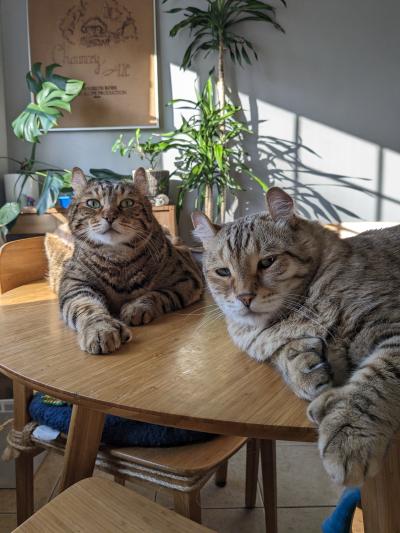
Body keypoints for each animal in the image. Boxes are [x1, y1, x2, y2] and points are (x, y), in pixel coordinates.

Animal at [46, 166, 203, 356]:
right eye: (93, 203)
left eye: (127, 203)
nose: (109, 216)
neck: (117, 257)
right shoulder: (74, 284)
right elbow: (87, 307)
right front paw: (101, 329)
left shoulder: (187, 277)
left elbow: (158, 293)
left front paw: (136, 307)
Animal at [193, 187, 400, 486]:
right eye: (223, 271)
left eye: (267, 262)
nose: (245, 297)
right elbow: (284, 353)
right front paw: (301, 366)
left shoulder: (390, 323)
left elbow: (376, 382)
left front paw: (349, 432)